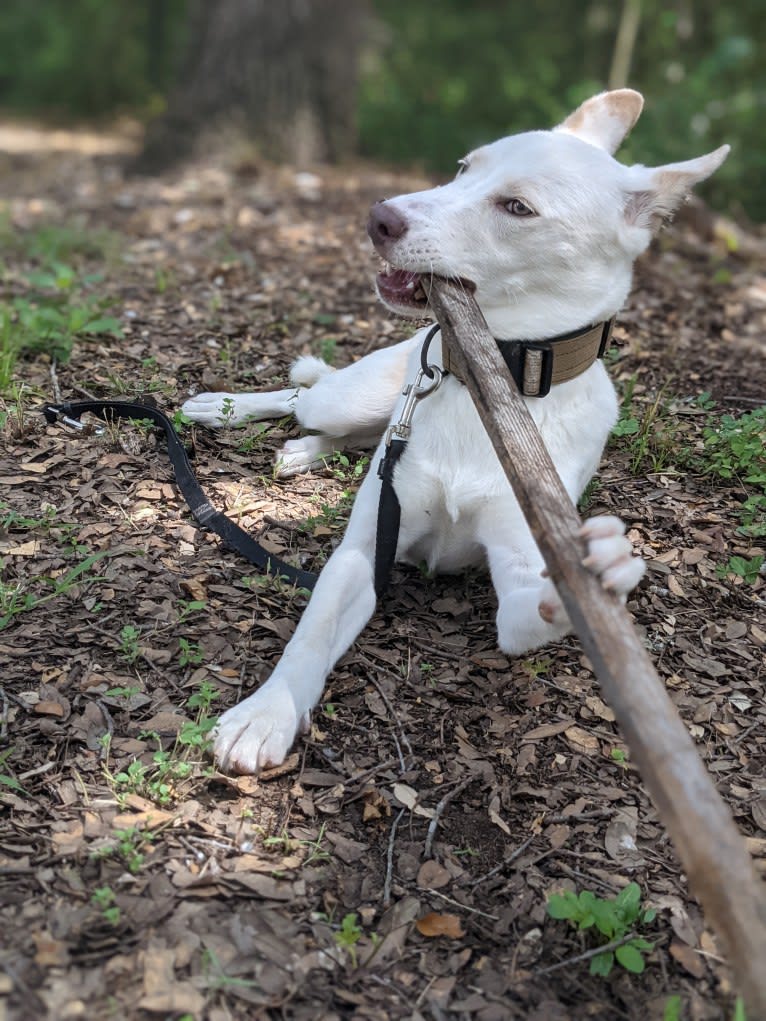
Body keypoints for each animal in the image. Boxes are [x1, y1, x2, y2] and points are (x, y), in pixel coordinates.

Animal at [182, 91, 727, 771]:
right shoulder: (364, 551)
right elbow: (311, 633)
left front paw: (595, 576)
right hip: (345, 398)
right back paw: (226, 408)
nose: (379, 218)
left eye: (517, 207)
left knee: (356, 432)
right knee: (305, 397)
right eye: (466, 167)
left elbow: (530, 612)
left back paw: (305, 452)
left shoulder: (516, 560)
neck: (488, 381)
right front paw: (267, 713)